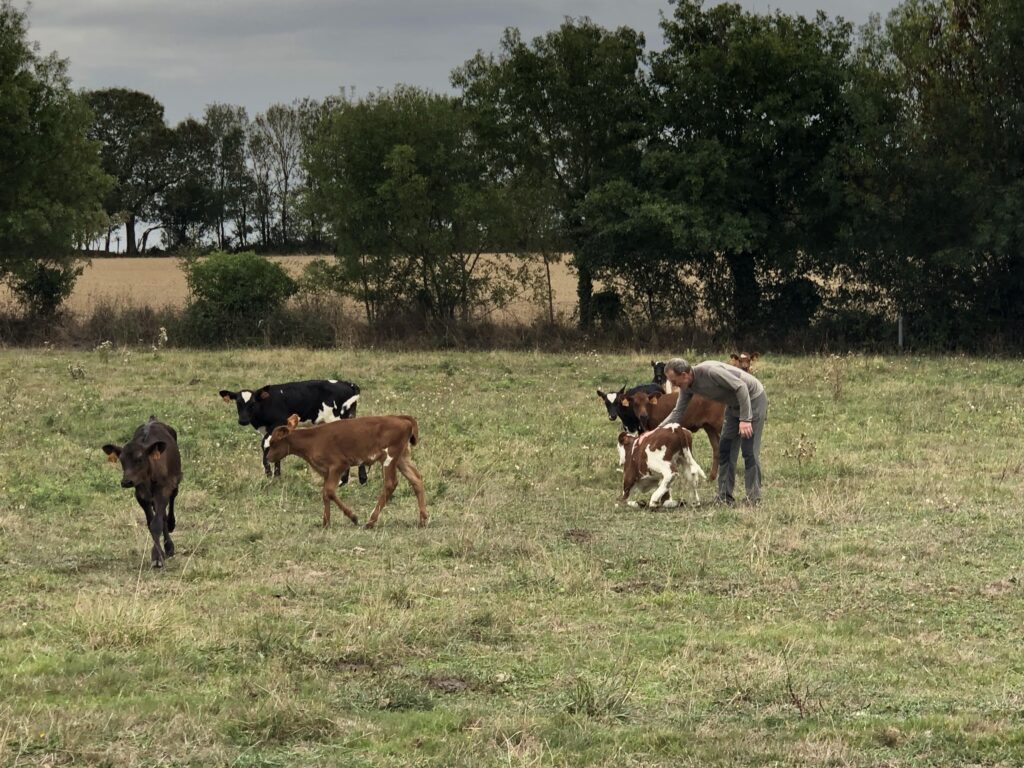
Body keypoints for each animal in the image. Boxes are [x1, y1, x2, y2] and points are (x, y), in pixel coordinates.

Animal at [101, 417, 182, 569]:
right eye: (121, 460)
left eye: (139, 459)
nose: (126, 481)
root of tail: (153, 419)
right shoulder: (141, 496)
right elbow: (151, 523)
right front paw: (159, 554)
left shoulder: (163, 490)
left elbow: (156, 524)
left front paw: (157, 558)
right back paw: (168, 547)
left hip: (176, 480)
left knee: (172, 500)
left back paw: (171, 527)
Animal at [220, 378, 368, 481]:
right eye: (238, 403)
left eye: (253, 403)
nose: (243, 420)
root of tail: (348, 383)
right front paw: (276, 476)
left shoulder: (277, 425)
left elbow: (266, 444)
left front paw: (269, 474)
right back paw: (357, 479)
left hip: (336, 419)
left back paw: (345, 480)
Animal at [264, 415, 428, 528]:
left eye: (273, 442)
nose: (268, 457)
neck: (312, 440)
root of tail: (400, 417)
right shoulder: (326, 471)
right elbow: (325, 494)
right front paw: (326, 522)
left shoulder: (338, 465)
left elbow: (329, 491)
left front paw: (353, 517)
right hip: (402, 458)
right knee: (416, 479)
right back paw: (423, 519)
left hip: (390, 457)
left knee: (390, 484)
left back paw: (371, 521)